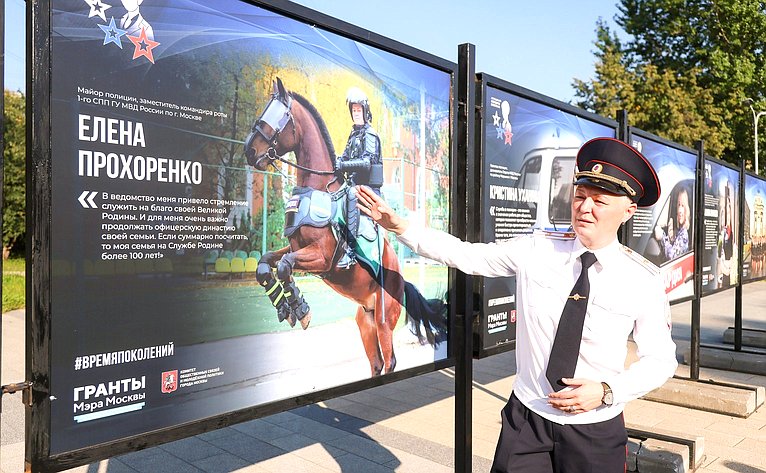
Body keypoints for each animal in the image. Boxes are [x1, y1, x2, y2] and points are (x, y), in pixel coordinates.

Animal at [246, 79, 448, 378]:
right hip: (366, 323)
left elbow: (284, 265)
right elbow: (266, 263)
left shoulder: (321, 257)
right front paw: (285, 305)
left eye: (280, 116)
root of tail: (401, 279)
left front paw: (300, 309)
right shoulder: (295, 246)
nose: (250, 151)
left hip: (384, 321)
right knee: (376, 363)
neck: (317, 188)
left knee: (390, 361)